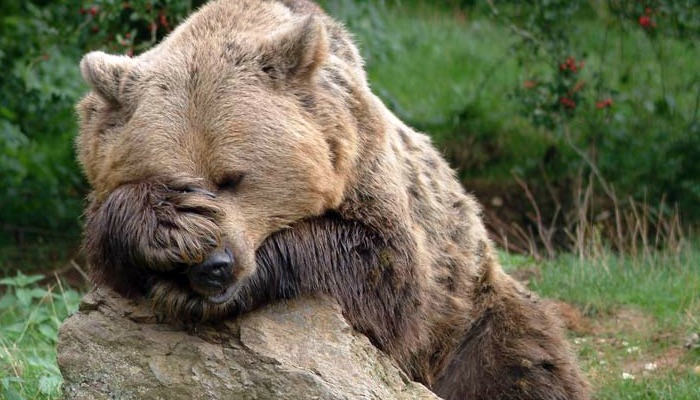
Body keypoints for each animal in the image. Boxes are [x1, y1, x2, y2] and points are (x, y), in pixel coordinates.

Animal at [75, 0, 589, 398]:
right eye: (178, 183)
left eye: (234, 178)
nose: (214, 267)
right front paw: (171, 230)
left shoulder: (369, 172)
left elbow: (382, 266)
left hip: (472, 313)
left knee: (522, 363)